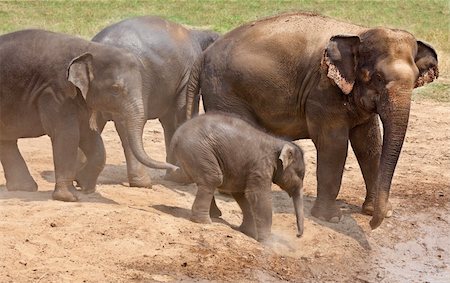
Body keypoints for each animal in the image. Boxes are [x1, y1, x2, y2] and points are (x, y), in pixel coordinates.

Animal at [0, 29, 178, 202]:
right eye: (115, 89)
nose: (176, 167)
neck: (89, 49)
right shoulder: (56, 92)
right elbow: (68, 134)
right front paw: (70, 197)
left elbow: (89, 135)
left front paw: (86, 187)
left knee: (7, 141)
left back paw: (24, 188)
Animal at [89, 16, 220, 189]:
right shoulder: (187, 76)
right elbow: (182, 115)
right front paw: (182, 178)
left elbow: (169, 122)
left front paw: (173, 175)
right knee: (127, 124)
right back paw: (142, 183)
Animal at [171, 114, 306, 243]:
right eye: (301, 175)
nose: (298, 235)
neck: (278, 142)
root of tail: (176, 135)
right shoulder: (260, 168)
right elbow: (258, 196)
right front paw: (268, 243)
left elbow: (240, 194)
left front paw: (248, 232)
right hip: (198, 150)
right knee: (213, 178)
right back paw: (204, 222)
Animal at [185, 12, 438, 230]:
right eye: (376, 77)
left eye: (415, 79)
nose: (373, 225)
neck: (358, 32)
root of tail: (204, 55)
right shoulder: (322, 90)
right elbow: (333, 145)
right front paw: (332, 218)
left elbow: (369, 144)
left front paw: (380, 210)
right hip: (225, 92)